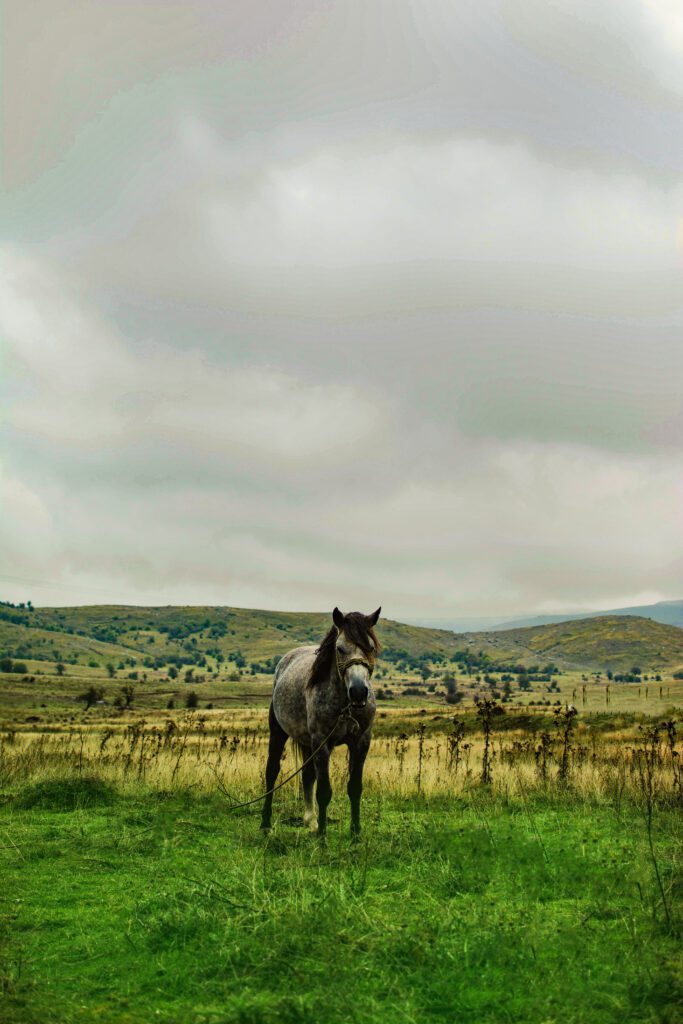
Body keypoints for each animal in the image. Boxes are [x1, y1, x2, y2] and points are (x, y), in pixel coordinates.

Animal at [260, 606, 381, 838]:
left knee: (307, 775)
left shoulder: (361, 741)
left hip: (308, 743)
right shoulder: (321, 742)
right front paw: (323, 837)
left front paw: (355, 834)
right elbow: (324, 791)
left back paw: (311, 821)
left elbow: (354, 787)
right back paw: (266, 824)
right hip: (279, 732)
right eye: (340, 649)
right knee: (272, 772)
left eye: (370, 647)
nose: (359, 691)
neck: (344, 703)